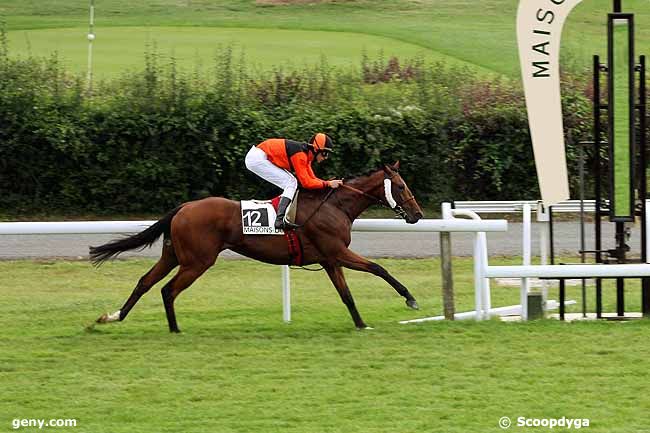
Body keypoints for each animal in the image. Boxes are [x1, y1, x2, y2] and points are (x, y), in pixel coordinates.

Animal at [92, 162, 426, 330]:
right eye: (400, 186)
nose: (418, 215)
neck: (335, 206)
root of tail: (183, 207)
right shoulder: (338, 252)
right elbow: (378, 268)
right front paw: (410, 299)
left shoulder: (330, 260)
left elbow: (346, 295)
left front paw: (360, 324)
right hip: (197, 261)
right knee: (167, 290)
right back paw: (174, 328)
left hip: (174, 255)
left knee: (145, 281)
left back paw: (113, 317)